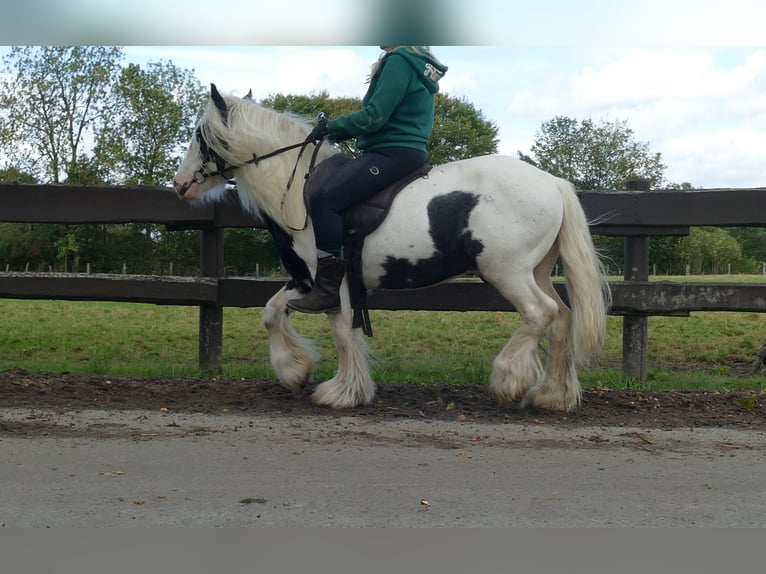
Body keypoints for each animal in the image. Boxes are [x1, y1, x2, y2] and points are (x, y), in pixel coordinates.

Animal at [174, 83, 612, 414]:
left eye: (198, 135)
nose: (180, 185)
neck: (299, 185)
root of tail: (552, 182)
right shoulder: (307, 281)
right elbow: (271, 313)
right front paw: (295, 370)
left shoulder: (332, 282)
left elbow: (342, 332)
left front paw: (342, 392)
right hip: (536, 271)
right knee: (562, 319)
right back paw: (552, 396)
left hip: (507, 272)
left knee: (541, 314)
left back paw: (509, 378)